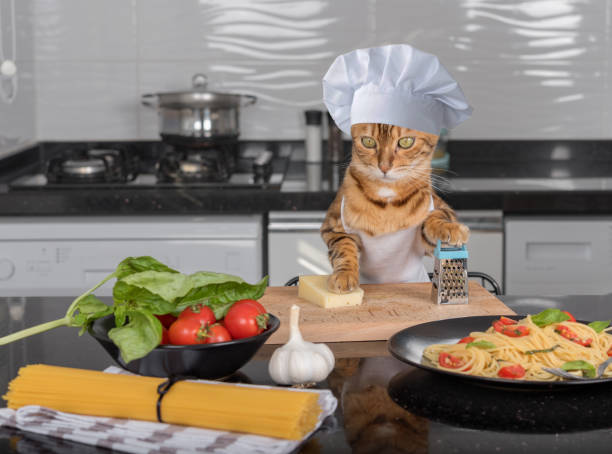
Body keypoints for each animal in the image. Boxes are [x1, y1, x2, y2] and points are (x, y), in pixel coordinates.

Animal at [320, 122, 468, 292]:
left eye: (406, 142)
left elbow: (436, 216)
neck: (386, 202)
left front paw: (450, 228)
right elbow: (344, 247)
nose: (384, 167)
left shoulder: (432, 224)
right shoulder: (333, 226)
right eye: (368, 141)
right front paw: (345, 274)